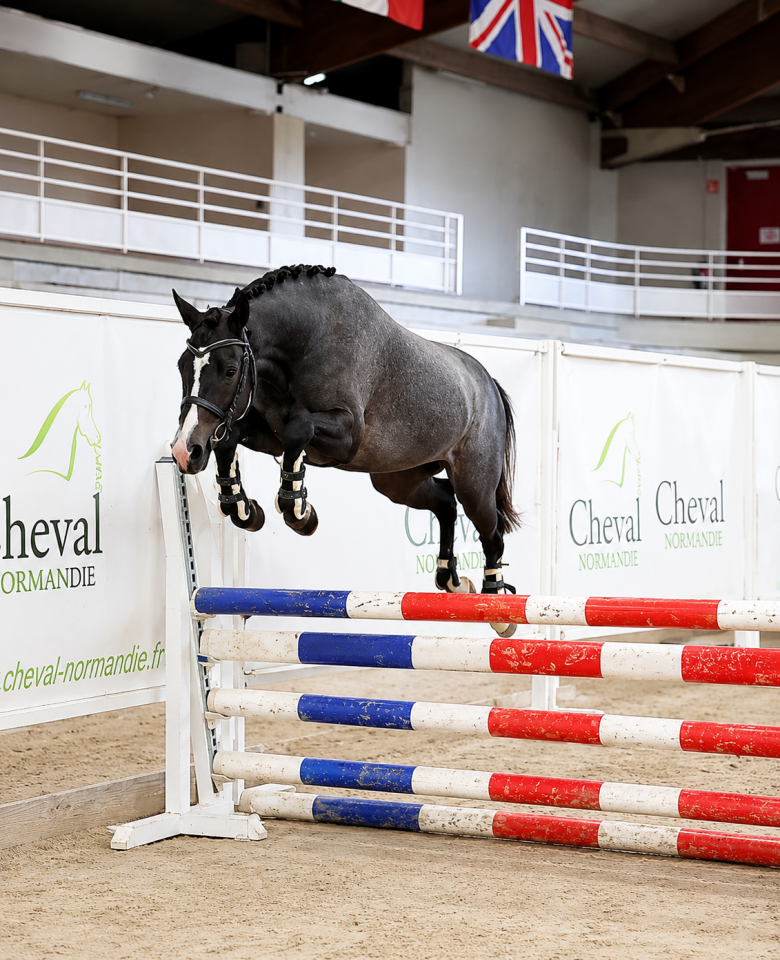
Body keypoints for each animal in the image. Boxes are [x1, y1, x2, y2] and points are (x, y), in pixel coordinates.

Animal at [170, 265, 521, 634]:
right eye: (182, 366)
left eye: (230, 370)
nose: (184, 451)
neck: (304, 340)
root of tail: (488, 383)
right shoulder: (270, 434)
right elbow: (231, 437)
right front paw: (243, 508)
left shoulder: (346, 434)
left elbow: (299, 430)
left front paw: (300, 513)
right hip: (397, 481)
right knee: (445, 503)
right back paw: (452, 579)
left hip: (473, 485)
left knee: (491, 531)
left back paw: (497, 607)